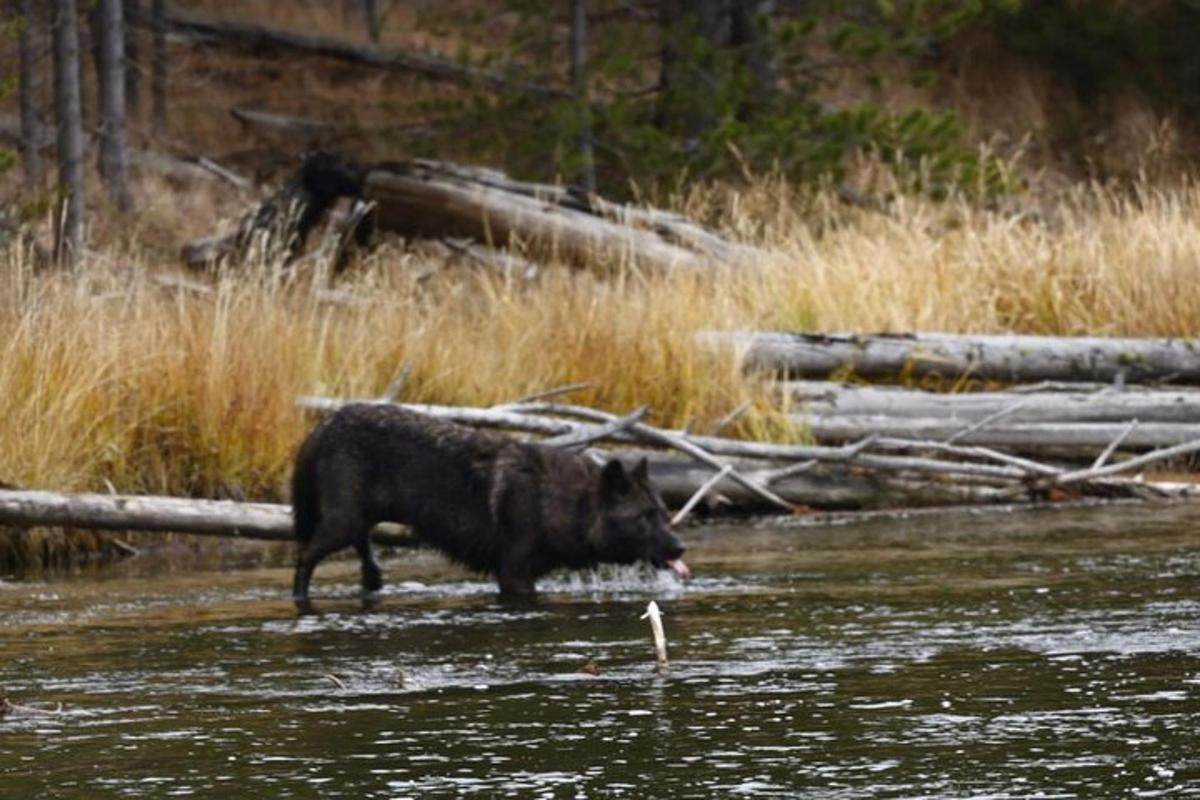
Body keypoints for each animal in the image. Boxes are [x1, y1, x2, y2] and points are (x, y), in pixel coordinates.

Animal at [290, 402, 691, 609]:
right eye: (644, 518)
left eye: (664, 514)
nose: (680, 547)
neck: (559, 501)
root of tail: (325, 423)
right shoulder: (514, 576)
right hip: (340, 525)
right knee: (303, 556)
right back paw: (299, 598)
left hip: (357, 525)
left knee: (367, 564)